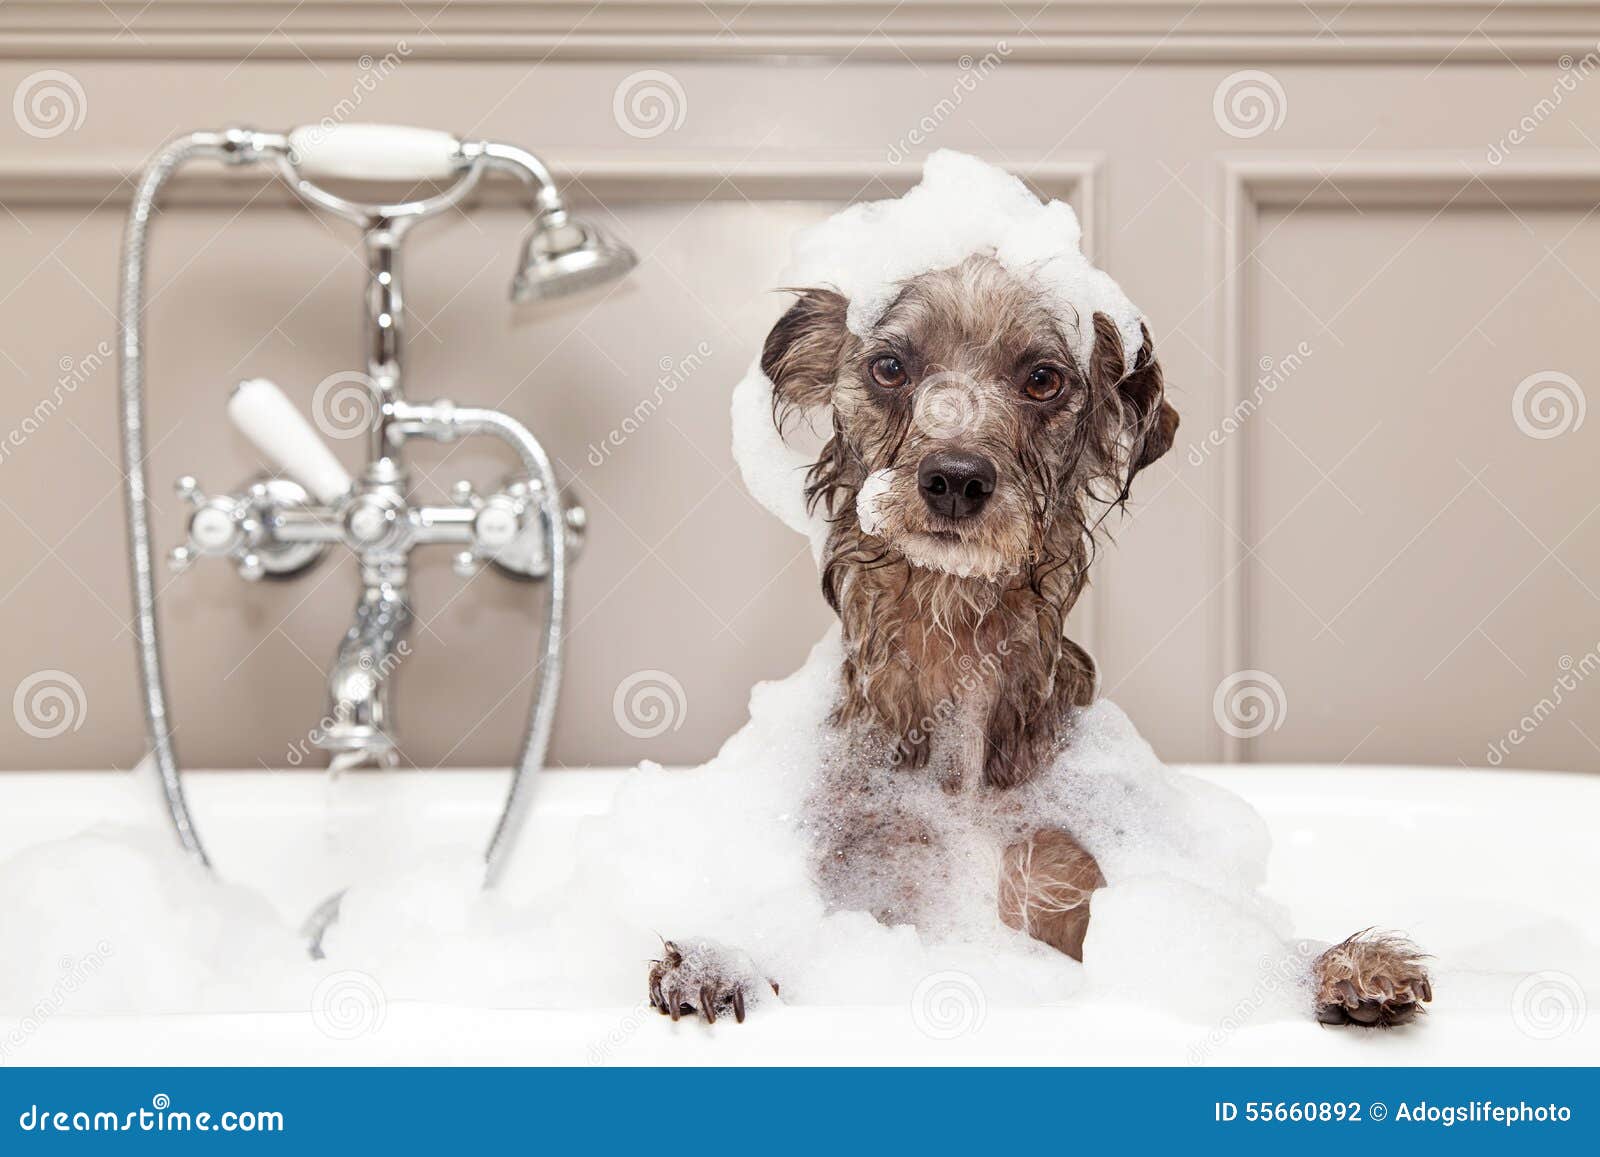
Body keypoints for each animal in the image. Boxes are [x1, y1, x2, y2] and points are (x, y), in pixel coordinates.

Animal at [643, 256, 1433, 1030]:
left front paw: (1339, 965)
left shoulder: (1069, 881)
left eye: (1043, 378)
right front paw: (722, 961)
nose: (955, 478)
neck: (955, 654)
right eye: (890, 366)